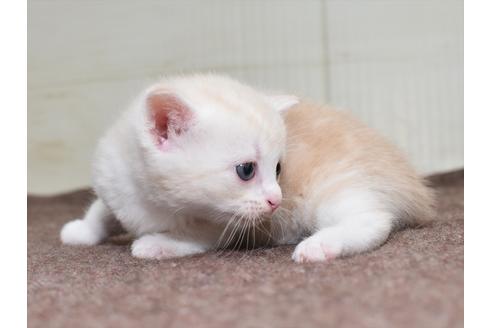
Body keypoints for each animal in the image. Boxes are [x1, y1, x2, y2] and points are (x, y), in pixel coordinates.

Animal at [61, 74, 434, 264]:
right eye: (246, 170)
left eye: (279, 168)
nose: (276, 200)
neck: (152, 199)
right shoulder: (114, 180)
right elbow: (102, 210)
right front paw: (82, 230)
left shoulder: (233, 226)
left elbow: (194, 234)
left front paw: (156, 244)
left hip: (337, 184)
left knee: (372, 219)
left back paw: (319, 245)